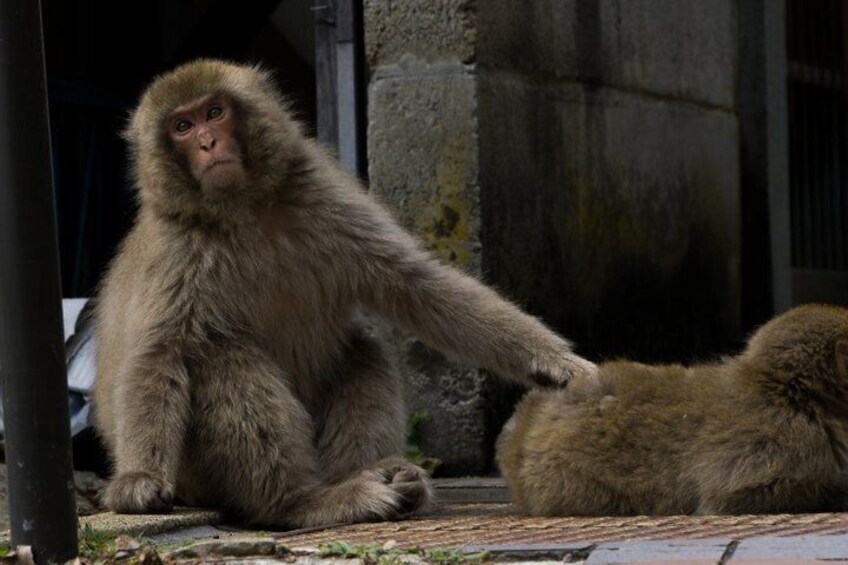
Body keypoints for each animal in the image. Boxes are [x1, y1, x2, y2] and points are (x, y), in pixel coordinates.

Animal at [91, 59, 598, 529]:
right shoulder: (176, 248)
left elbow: (416, 284)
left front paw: (556, 363)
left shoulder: (325, 196)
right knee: (220, 354)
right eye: (182, 126)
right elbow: (161, 352)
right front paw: (137, 479)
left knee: (362, 350)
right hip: (196, 475)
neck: (244, 210)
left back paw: (380, 479)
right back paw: (302, 502)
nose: (206, 143)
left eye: (214, 112)